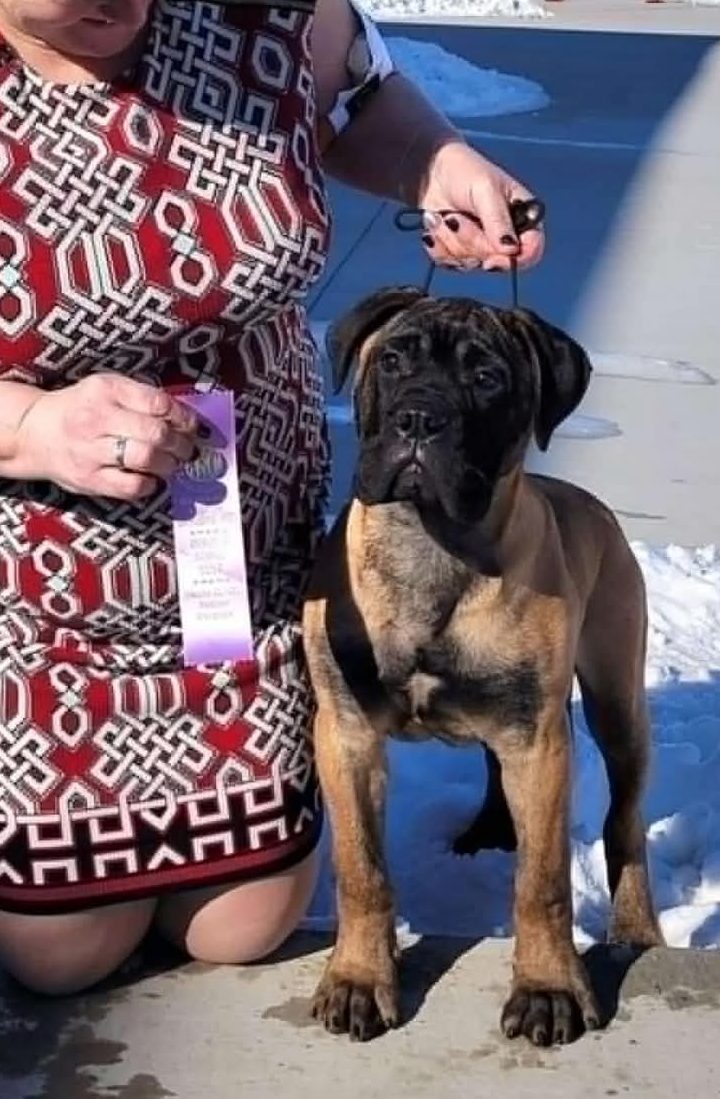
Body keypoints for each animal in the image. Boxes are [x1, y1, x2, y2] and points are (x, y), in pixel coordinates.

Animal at [302, 287, 662, 1047]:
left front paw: (549, 988)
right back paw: (494, 828)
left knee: (625, 818)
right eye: (394, 359)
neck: (433, 547)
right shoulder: (345, 732)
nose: (419, 418)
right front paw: (358, 978)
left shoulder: (540, 739)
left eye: (487, 378)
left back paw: (635, 928)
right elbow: (361, 868)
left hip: (617, 701)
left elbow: (543, 882)